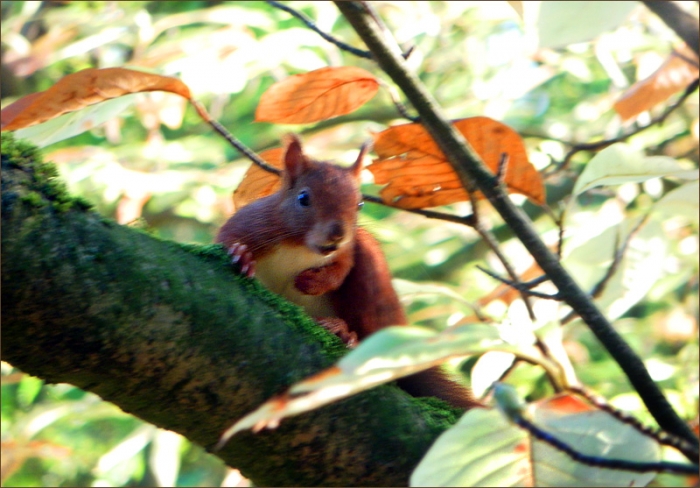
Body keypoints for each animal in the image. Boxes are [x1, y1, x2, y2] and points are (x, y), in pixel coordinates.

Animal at [216, 135, 482, 410]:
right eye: (303, 198)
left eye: (360, 203)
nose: (337, 234)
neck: (300, 246)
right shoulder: (251, 222)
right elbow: (226, 237)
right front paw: (240, 255)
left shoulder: (349, 249)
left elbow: (342, 270)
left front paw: (311, 282)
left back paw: (344, 332)